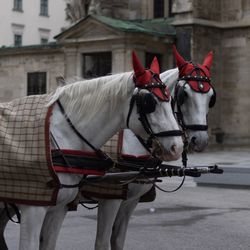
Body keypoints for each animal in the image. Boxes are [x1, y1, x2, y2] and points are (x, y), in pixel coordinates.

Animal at [0, 51, 184, 250]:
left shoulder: (60, 208)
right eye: (149, 102)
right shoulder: (34, 208)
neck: (61, 136)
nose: (177, 147)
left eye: (170, 99)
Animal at [94, 45, 215, 250]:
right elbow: (102, 242)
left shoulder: (130, 201)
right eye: (183, 95)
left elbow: (117, 239)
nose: (200, 140)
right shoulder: (109, 200)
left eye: (211, 97)